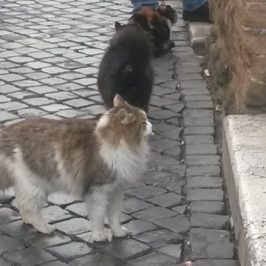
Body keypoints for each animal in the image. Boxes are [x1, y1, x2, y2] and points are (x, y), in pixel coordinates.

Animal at [0, 94, 152, 242]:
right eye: (143, 123)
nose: (151, 125)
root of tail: (6, 131)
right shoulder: (98, 191)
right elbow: (98, 216)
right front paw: (100, 236)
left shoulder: (115, 191)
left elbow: (114, 216)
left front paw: (118, 232)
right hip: (35, 187)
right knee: (29, 208)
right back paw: (44, 227)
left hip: (27, 185)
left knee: (22, 204)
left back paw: (29, 221)